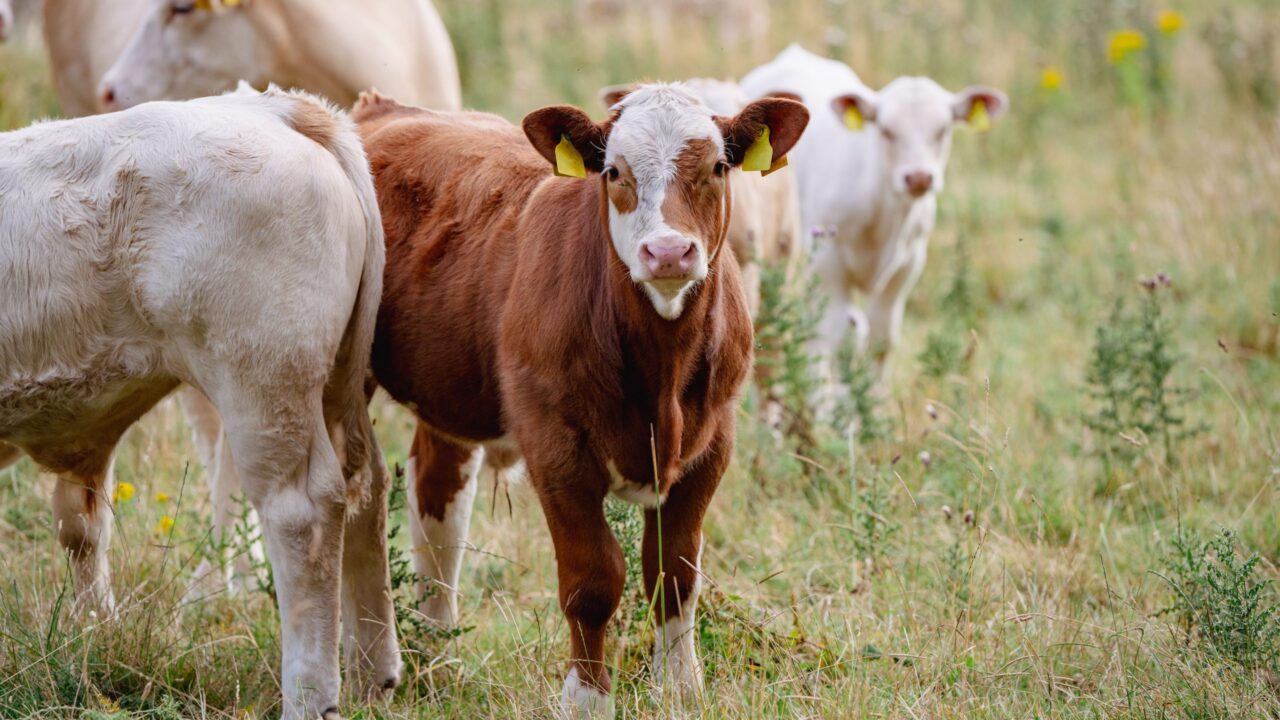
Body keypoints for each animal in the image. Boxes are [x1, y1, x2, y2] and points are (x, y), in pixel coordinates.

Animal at [0, 87, 399, 719]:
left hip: (262, 386)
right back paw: (370, 674)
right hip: (338, 384)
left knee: (304, 515)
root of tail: (274, 108)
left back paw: (311, 697)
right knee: (369, 486)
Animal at [352, 84, 807, 715]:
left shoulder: (712, 443)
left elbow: (674, 570)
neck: (661, 377)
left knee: (437, 495)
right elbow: (592, 579)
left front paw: (681, 687)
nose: (669, 252)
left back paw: (438, 652)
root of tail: (382, 107)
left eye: (718, 167)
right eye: (614, 172)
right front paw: (587, 698)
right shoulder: (555, 445)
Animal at [741, 44, 1007, 388]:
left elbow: (881, 339)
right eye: (886, 131)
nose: (919, 177)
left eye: (943, 130)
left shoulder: (907, 266)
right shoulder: (826, 263)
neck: (884, 213)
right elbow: (829, 336)